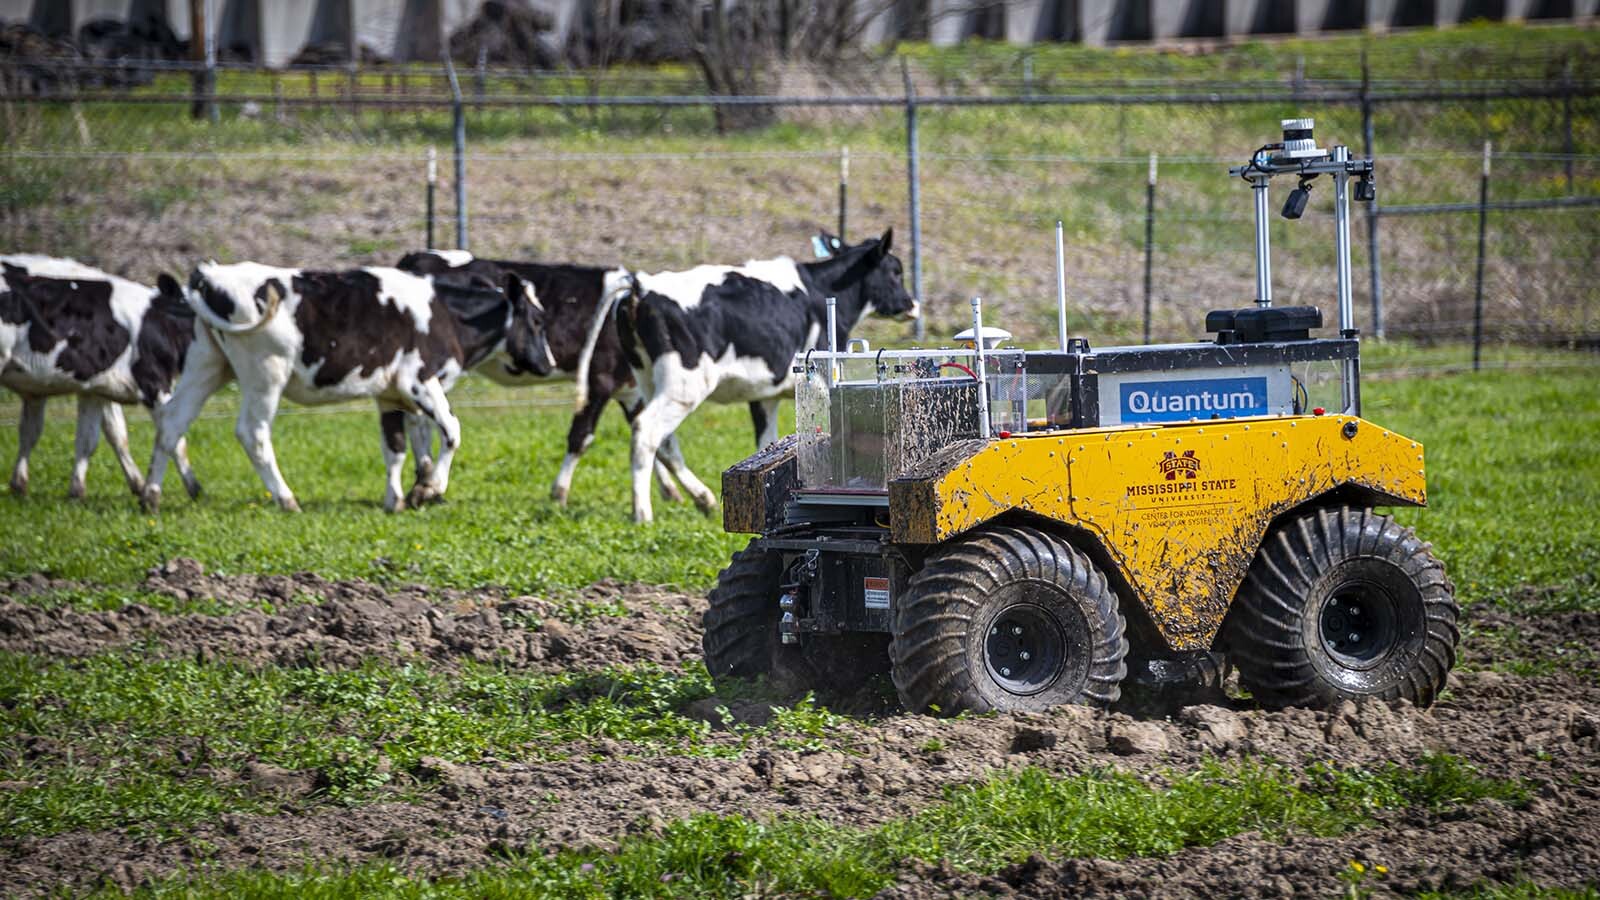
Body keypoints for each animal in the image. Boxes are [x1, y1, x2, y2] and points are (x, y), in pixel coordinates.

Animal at [1, 254, 201, 500]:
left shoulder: (95, 388)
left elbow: (95, 439)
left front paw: (77, 492)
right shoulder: (153, 382)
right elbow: (175, 437)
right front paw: (193, 489)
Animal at [139, 261, 555, 514]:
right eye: (536, 320)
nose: (549, 364)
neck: (446, 316)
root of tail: (212, 275)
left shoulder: (389, 394)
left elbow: (395, 449)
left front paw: (395, 499)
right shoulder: (419, 381)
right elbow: (452, 431)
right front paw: (429, 489)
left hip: (207, 364)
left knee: (172, 422)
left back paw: (151, 497)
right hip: (265, 373)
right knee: (252, 433)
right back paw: (286, 499)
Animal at [394, 250, 687, 506]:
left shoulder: (630, 390)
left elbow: (655, 439)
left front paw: (671, 491)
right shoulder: (599, 379)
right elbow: (581, 436)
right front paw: (559, 493)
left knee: (418, 419)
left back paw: (425, 482)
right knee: (419, 421)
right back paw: (427, 483)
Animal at [577, 229, 918, 523]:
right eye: (895, 271)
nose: (912, 304)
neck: (822, 290)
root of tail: (640, 285)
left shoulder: (764, 396)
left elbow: (767, 441)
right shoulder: (820, 382)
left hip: (649, 380)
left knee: (664, 440)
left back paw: (702, 498)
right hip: (684, 386)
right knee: (646, 431)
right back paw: (643, 513)